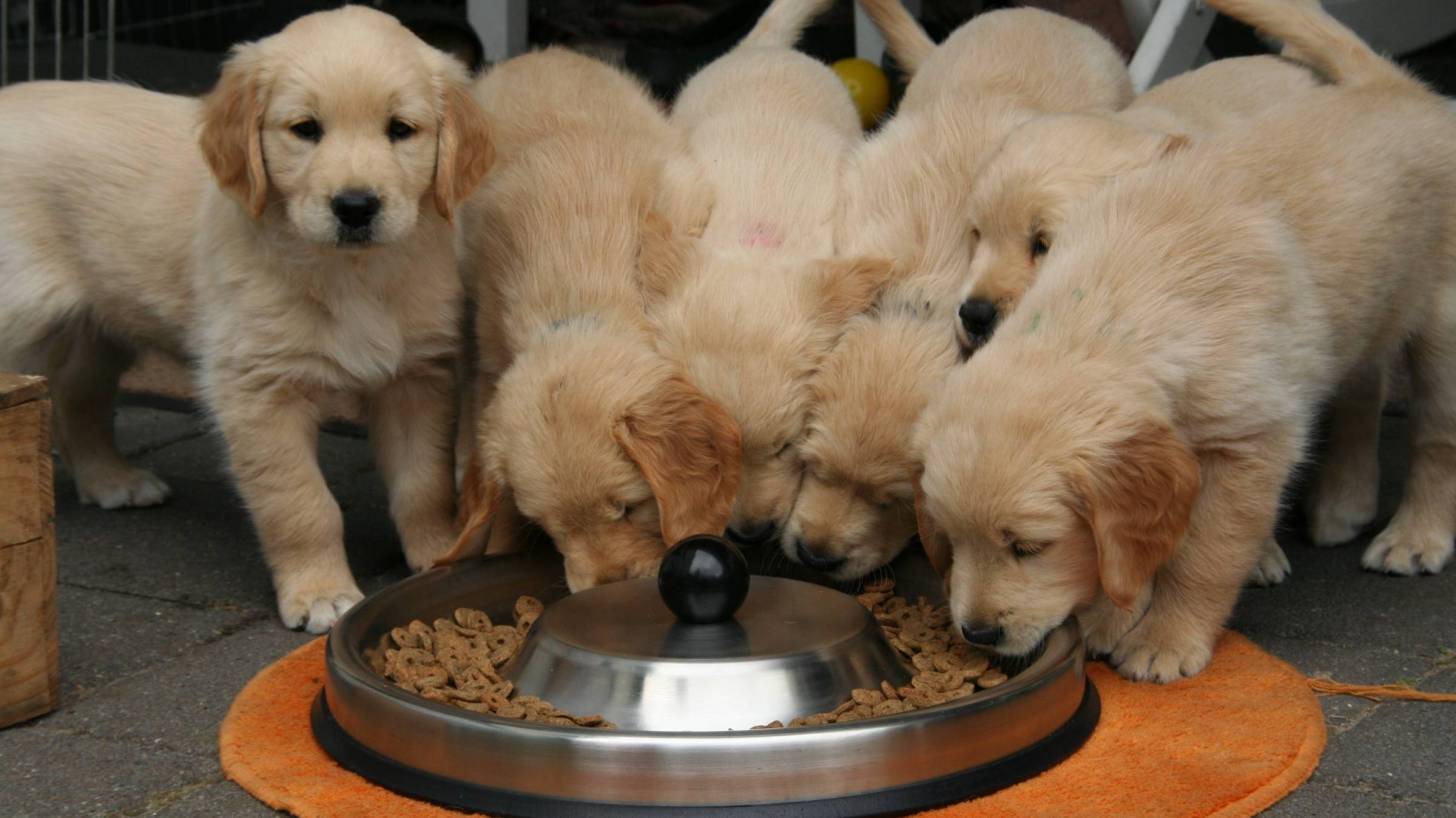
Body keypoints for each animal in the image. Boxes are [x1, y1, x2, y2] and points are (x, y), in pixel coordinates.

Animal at [0, 7, 495, 631]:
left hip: (98, 324)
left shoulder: (416, 377)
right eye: (305, 129)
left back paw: (112, 479)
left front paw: (440, 553)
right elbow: (301, 503)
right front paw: (319, 592)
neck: (350, 273)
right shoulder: (258, 390)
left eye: (400, 129)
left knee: (75, 395)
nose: (356, 207)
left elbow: (421, 483)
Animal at [439, 47, 739, 588]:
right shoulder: (492, 344)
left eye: (629, 508)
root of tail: (540, 52)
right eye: (547, 526)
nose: (608, 585)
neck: (577, 302)